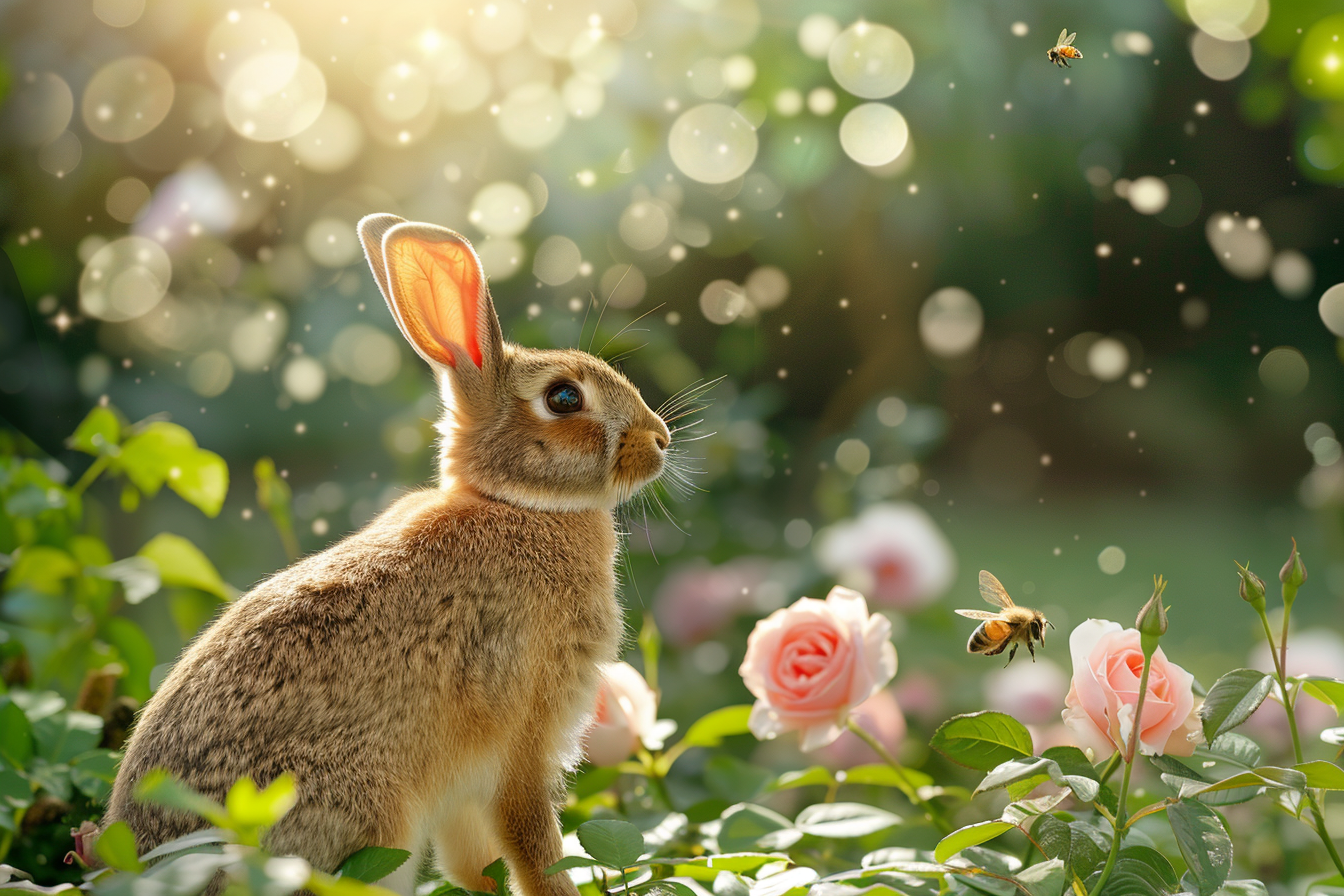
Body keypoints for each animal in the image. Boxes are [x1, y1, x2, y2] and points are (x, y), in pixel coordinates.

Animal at [99, 215, 673, 896]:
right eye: (563, 399)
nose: (661, 440)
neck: (518, 505)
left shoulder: (460, 796)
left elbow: (473, 865)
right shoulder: (523, 740)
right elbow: (535, 846)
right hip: (365, 811)